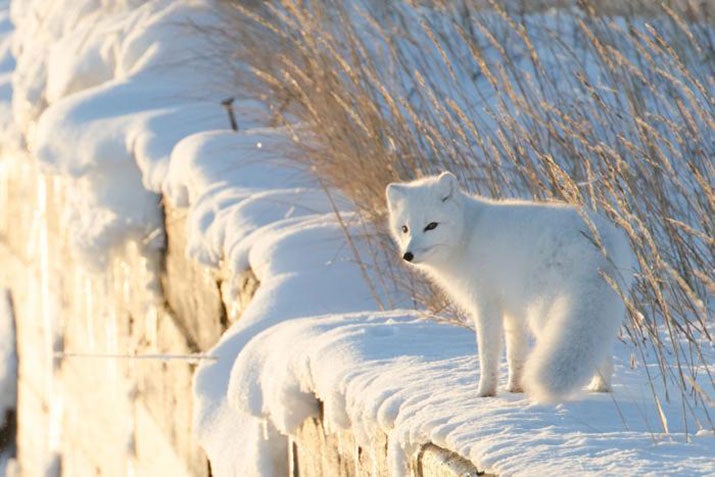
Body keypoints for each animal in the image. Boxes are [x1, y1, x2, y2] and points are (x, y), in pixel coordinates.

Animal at [386, 171, 634, 402]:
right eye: (405, 228)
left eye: (431, 226)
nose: (407, 255)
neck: (467, 233)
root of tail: (600, 246)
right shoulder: (513, 310)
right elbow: (516, 354)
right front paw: (515, 387)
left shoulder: (486, 306)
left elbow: (488, 354)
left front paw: (485, 393)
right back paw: (601, 389)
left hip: (544, 313)